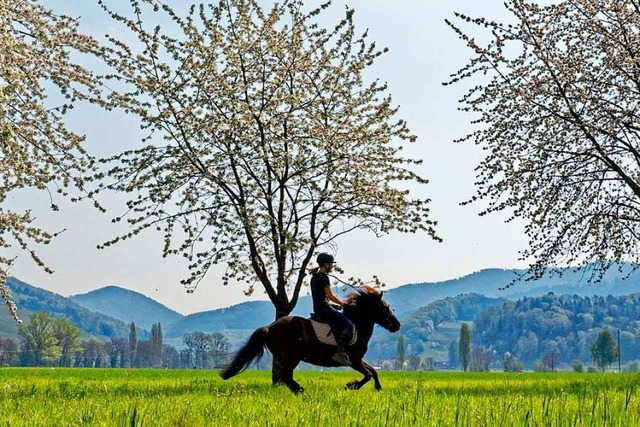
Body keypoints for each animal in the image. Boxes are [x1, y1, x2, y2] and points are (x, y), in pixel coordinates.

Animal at [220, 286, 400, 392]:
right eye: (385, 307)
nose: (397, 325)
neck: (357, 325)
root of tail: (269, 327)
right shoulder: (354, 360)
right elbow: (368, 374)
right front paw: (351, 386)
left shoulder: (358, 360)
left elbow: (374, 371)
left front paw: (377, 388)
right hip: (291, 357)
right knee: (286, 376)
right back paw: (300, 390)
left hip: (283, 357)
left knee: (282, 376)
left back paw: (297, 389)